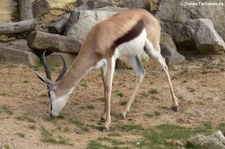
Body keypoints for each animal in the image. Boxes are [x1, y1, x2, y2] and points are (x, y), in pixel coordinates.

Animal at [35, 8, 178, 130]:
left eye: (49, 95)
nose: (51, 114)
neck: (97, 37)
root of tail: (151, 16)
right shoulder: (102, 65)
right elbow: (104, 86)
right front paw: (103, 117)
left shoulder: (110, 61)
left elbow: (109, 87)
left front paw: (106, 124)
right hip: (131, 55)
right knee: (141, 72)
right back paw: (124, 112)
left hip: (152, 49)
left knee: (164, 63)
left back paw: (175, 105)